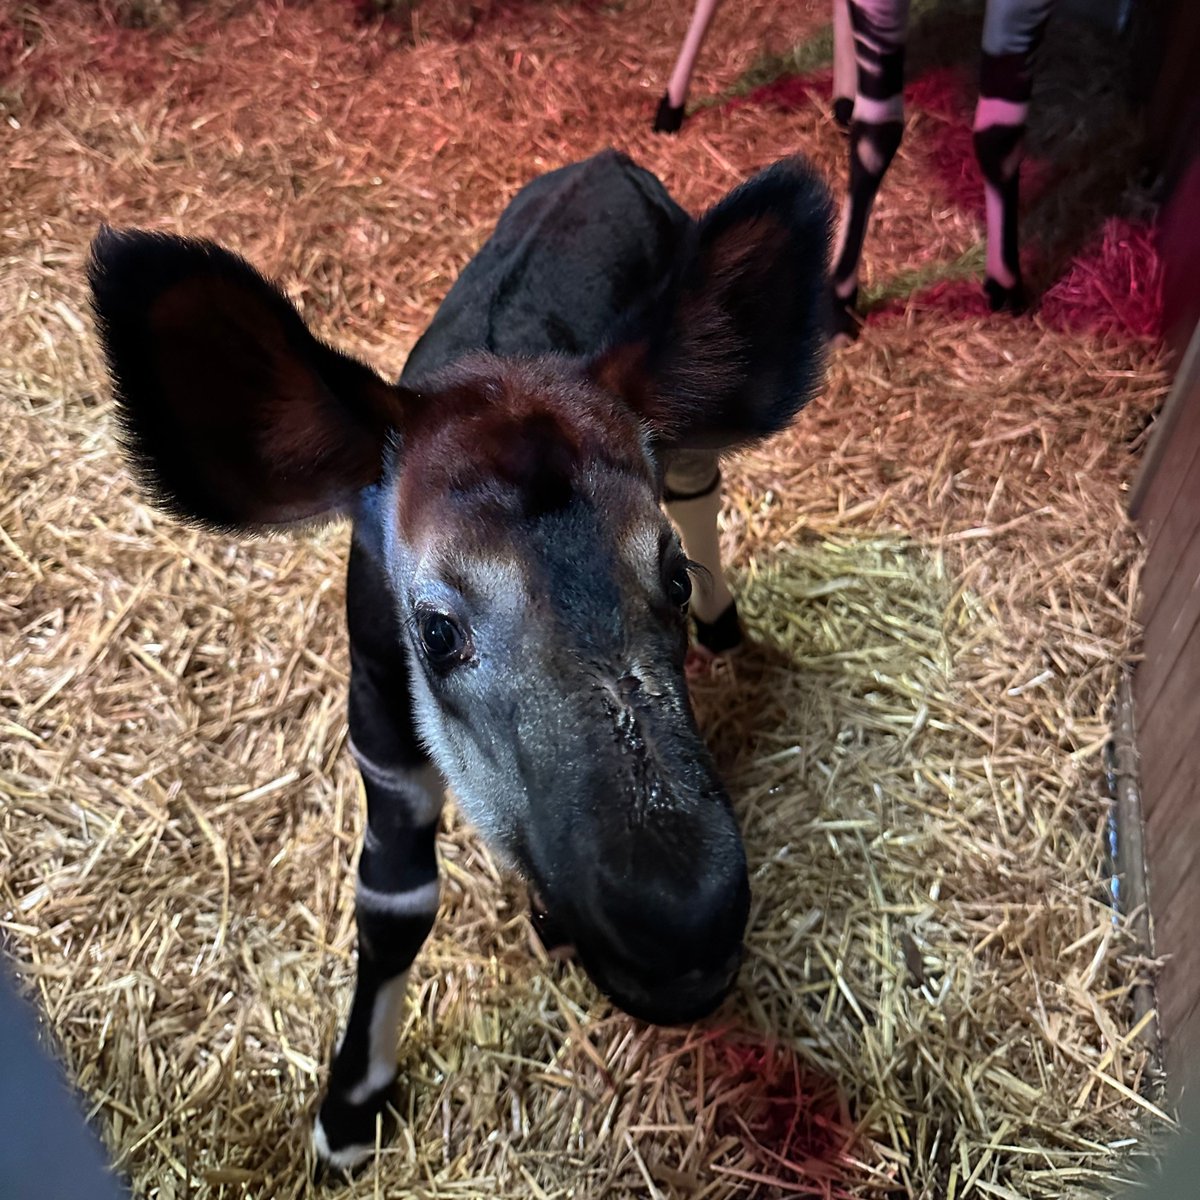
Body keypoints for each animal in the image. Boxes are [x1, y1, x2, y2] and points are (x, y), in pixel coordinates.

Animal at [87, 149, 832, 1170]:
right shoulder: (384, 747)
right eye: (435, 631)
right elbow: (395, 906)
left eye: (672, 579)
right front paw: (350, 1113)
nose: (683, 935)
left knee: (700, 472)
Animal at [655, 0, 1055, 338]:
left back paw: (845, 99)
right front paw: (839, 302)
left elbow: (999, 135)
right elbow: (878, 133)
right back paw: (671, 107)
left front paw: (1005, 283)